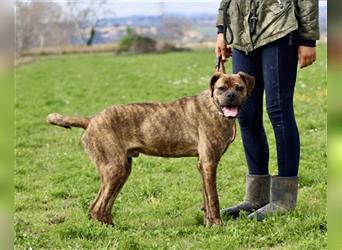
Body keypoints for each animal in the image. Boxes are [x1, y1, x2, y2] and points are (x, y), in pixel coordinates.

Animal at [46, 71, 254, 226]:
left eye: (239, 87)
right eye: (221, 88)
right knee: (97, 206)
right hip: (114, 169)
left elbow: (206, 197)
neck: (215, 109)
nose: (231, 96)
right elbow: (213, 198)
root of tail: (90, 120)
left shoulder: (203, 164)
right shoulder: (209, 163)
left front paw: (208, 223)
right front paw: (217, 225)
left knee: (103, 205)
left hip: (122, 170)